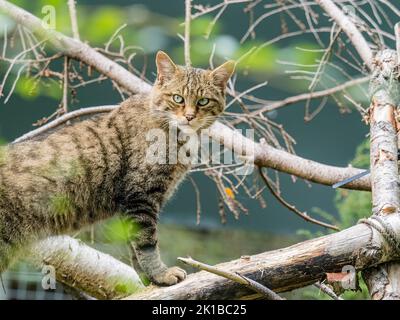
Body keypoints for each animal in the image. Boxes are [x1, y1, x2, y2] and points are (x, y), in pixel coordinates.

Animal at [0, 51, 234, 286]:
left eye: (203, 101)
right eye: (178, 98)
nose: (189, 116)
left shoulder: (133, 203)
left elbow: (134, 246)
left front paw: (149, 281)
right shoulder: (140, 195)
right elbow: (146, 243)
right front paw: (160, 274)